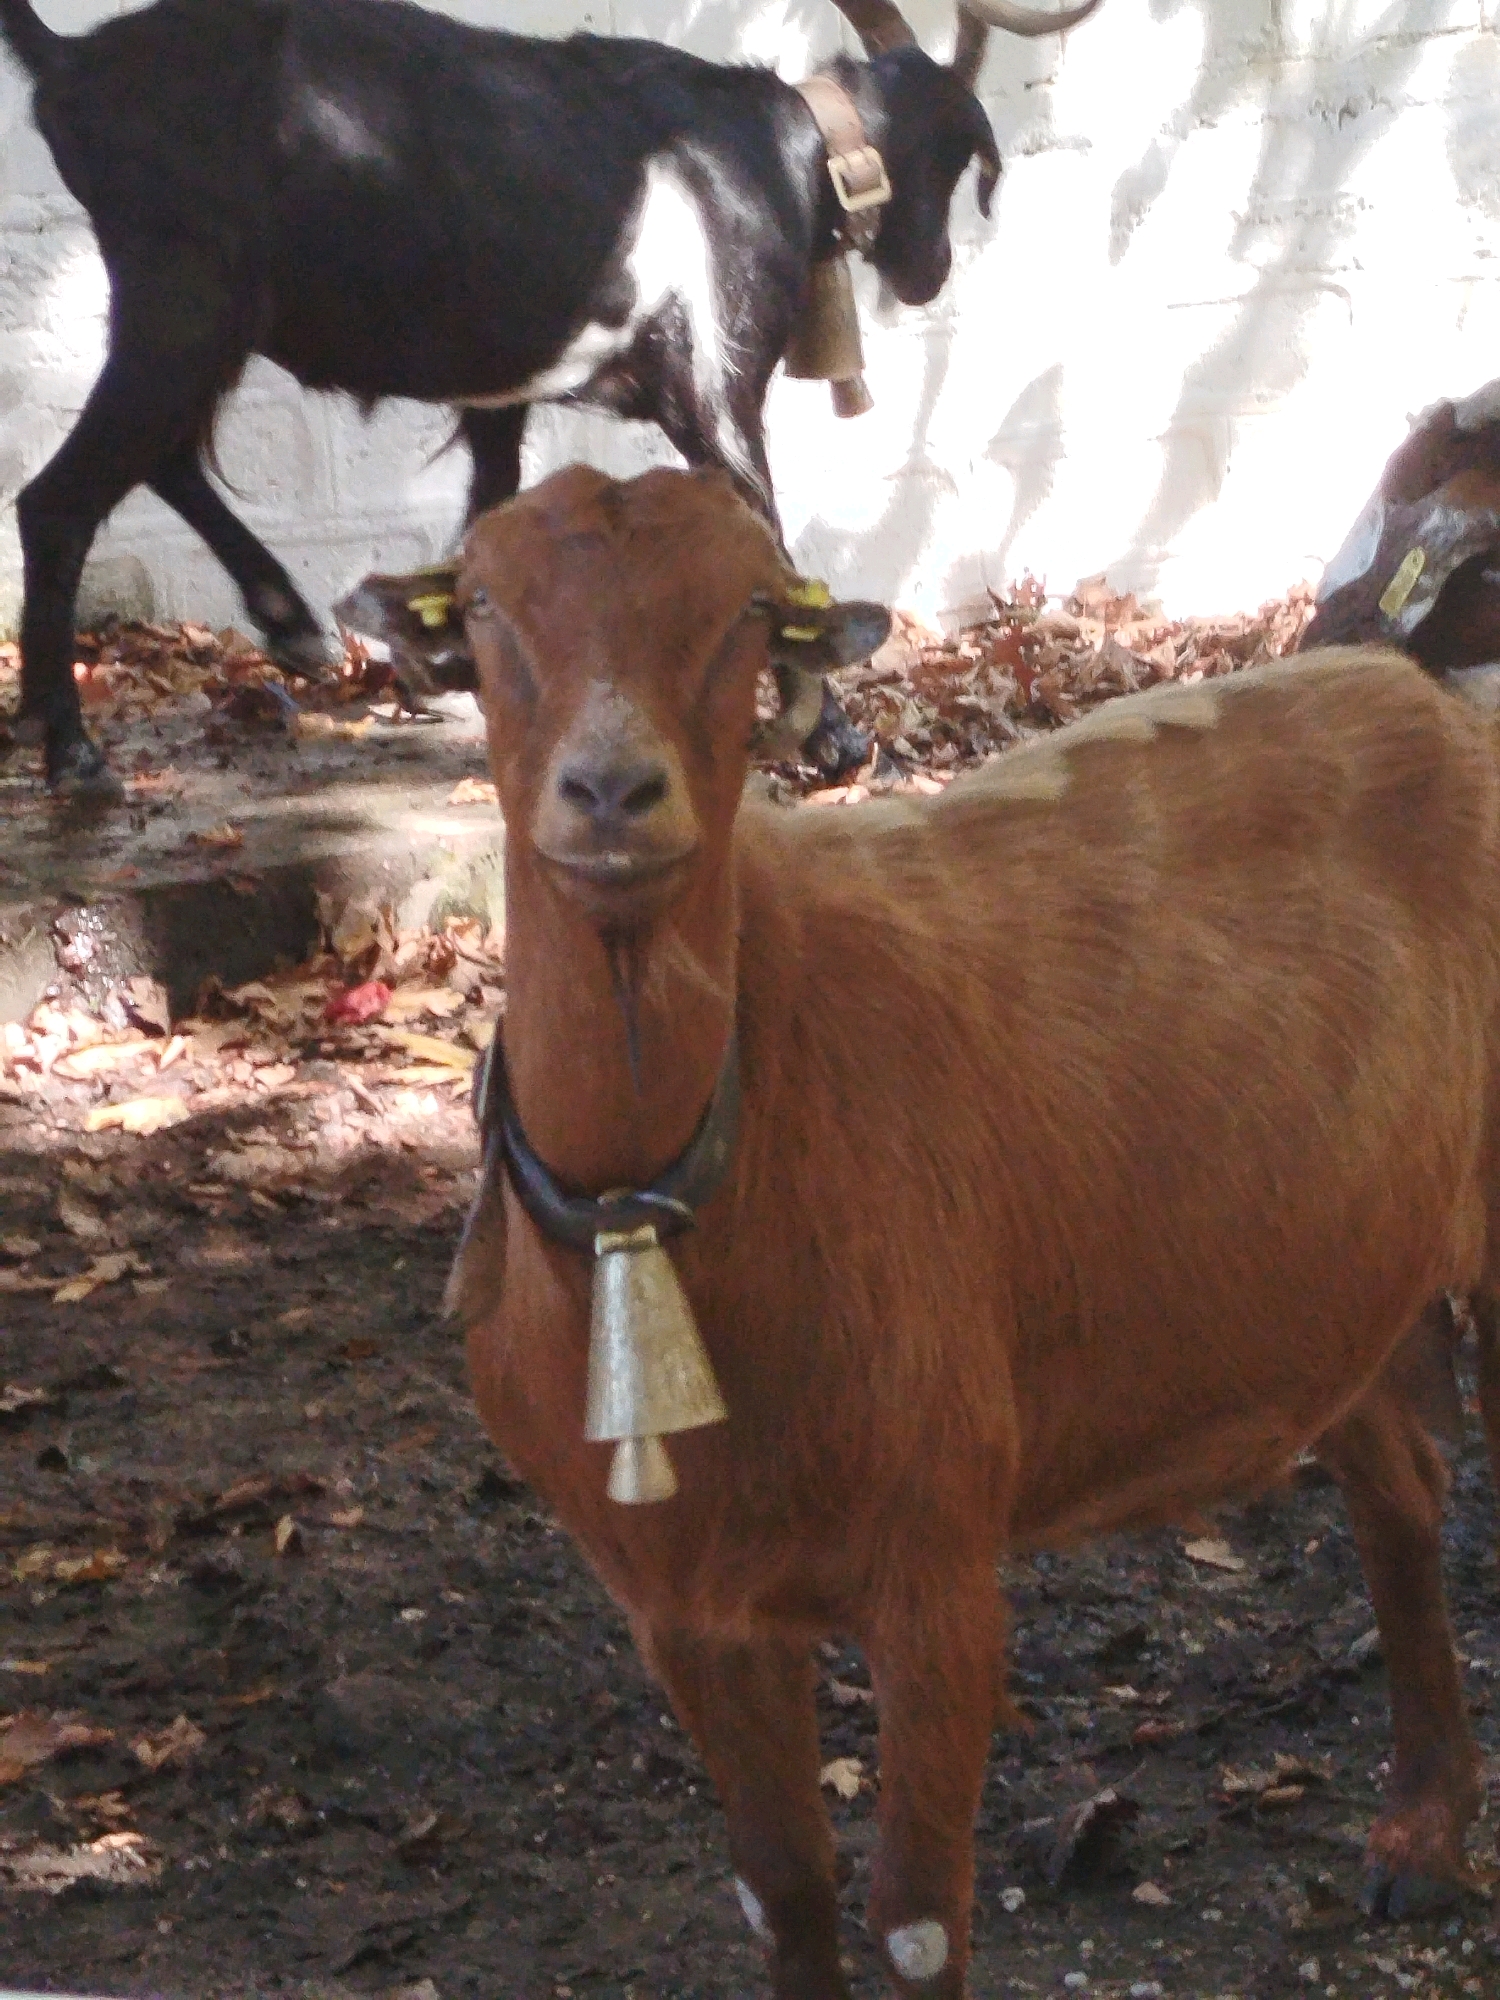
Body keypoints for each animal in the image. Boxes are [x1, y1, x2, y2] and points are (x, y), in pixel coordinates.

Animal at [0, 0, 1100, 794]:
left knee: (161, 458)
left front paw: (449, 677)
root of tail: (67, 67)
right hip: (186, 309)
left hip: (199, 326)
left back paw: (286, 618)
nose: (931, 269)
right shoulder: (714, 396)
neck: (783, 153)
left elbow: (487, 512)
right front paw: (836, 739)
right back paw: (73, 754)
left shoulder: (501, 397)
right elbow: (770, 543)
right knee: (58, 499)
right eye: (958, 165)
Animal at [442, 462, 1500, 1999]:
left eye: (748, 610)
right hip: (1326, 1267)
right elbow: (784, 1893)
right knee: (1402, 1483)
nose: (611, 791)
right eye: (477, 606)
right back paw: (1420, 1834)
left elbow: (918, 1923)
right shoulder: (682, 1604)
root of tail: (1434, 699)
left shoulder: (937, 1548)